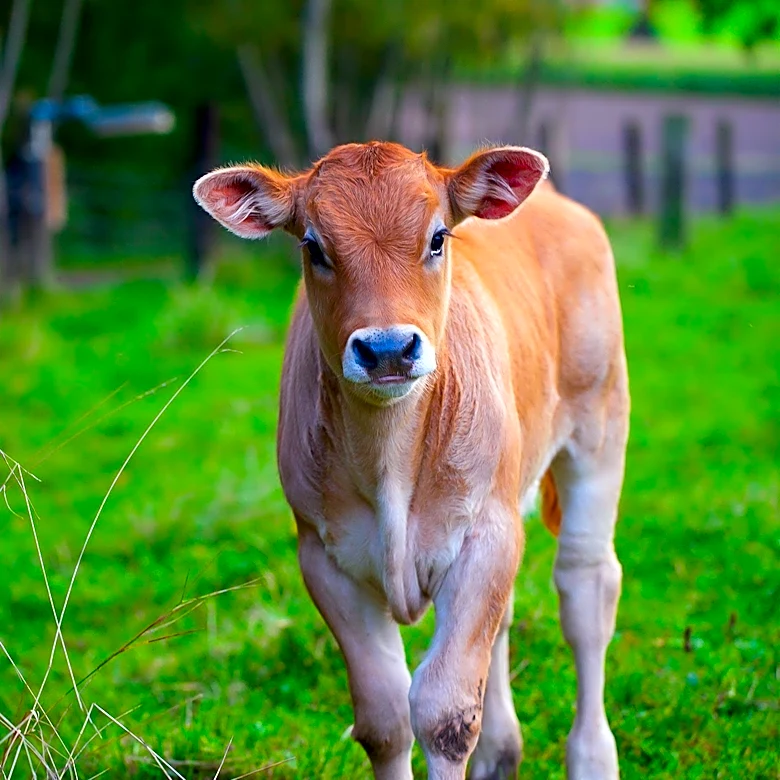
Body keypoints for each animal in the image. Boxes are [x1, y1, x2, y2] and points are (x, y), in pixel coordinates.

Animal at [193, 141, 629, 780]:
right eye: (313, 246)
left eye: (438, 237)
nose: (387, 349)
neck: (391, 460)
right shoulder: (324, 556)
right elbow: (385, 716)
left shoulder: (485, 533)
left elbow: (444, 713)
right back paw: (501, 753)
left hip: (599, 428)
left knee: (585, 589)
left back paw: (593, 755)